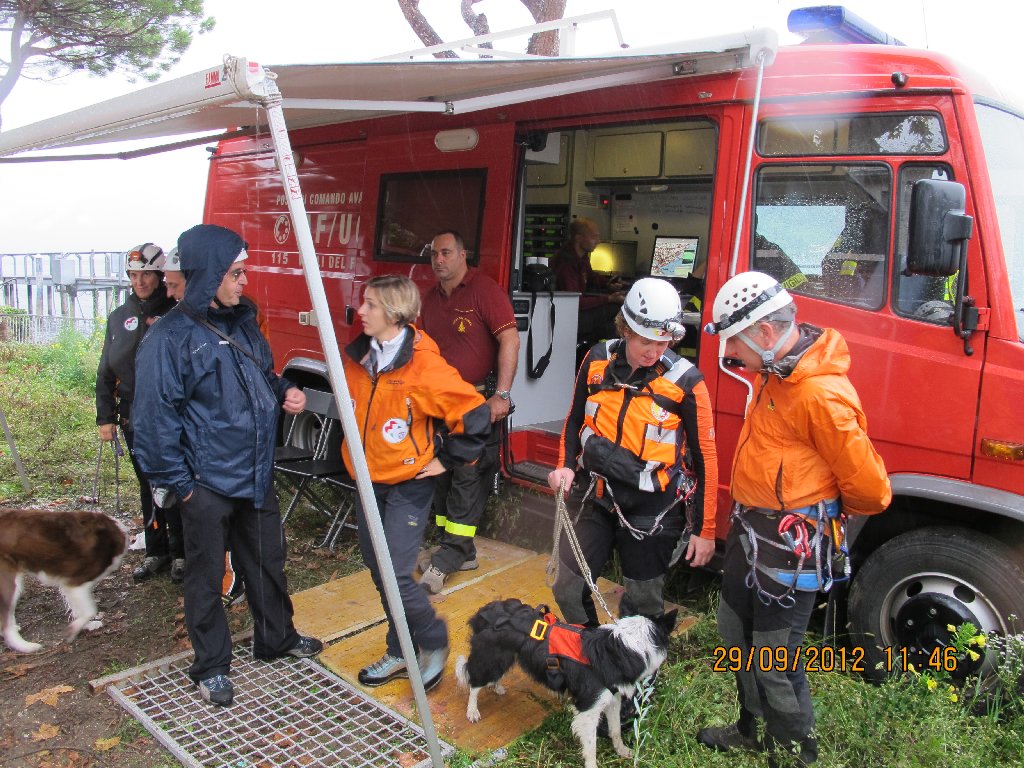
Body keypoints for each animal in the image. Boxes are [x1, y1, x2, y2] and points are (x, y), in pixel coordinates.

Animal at [0, 507, 126, 651]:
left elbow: (79, 610)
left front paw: (86, 626)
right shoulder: (76, 584)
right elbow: (90, 610)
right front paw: (73, 630)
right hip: (9, 582)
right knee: (6, 624)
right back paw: (25, 646)